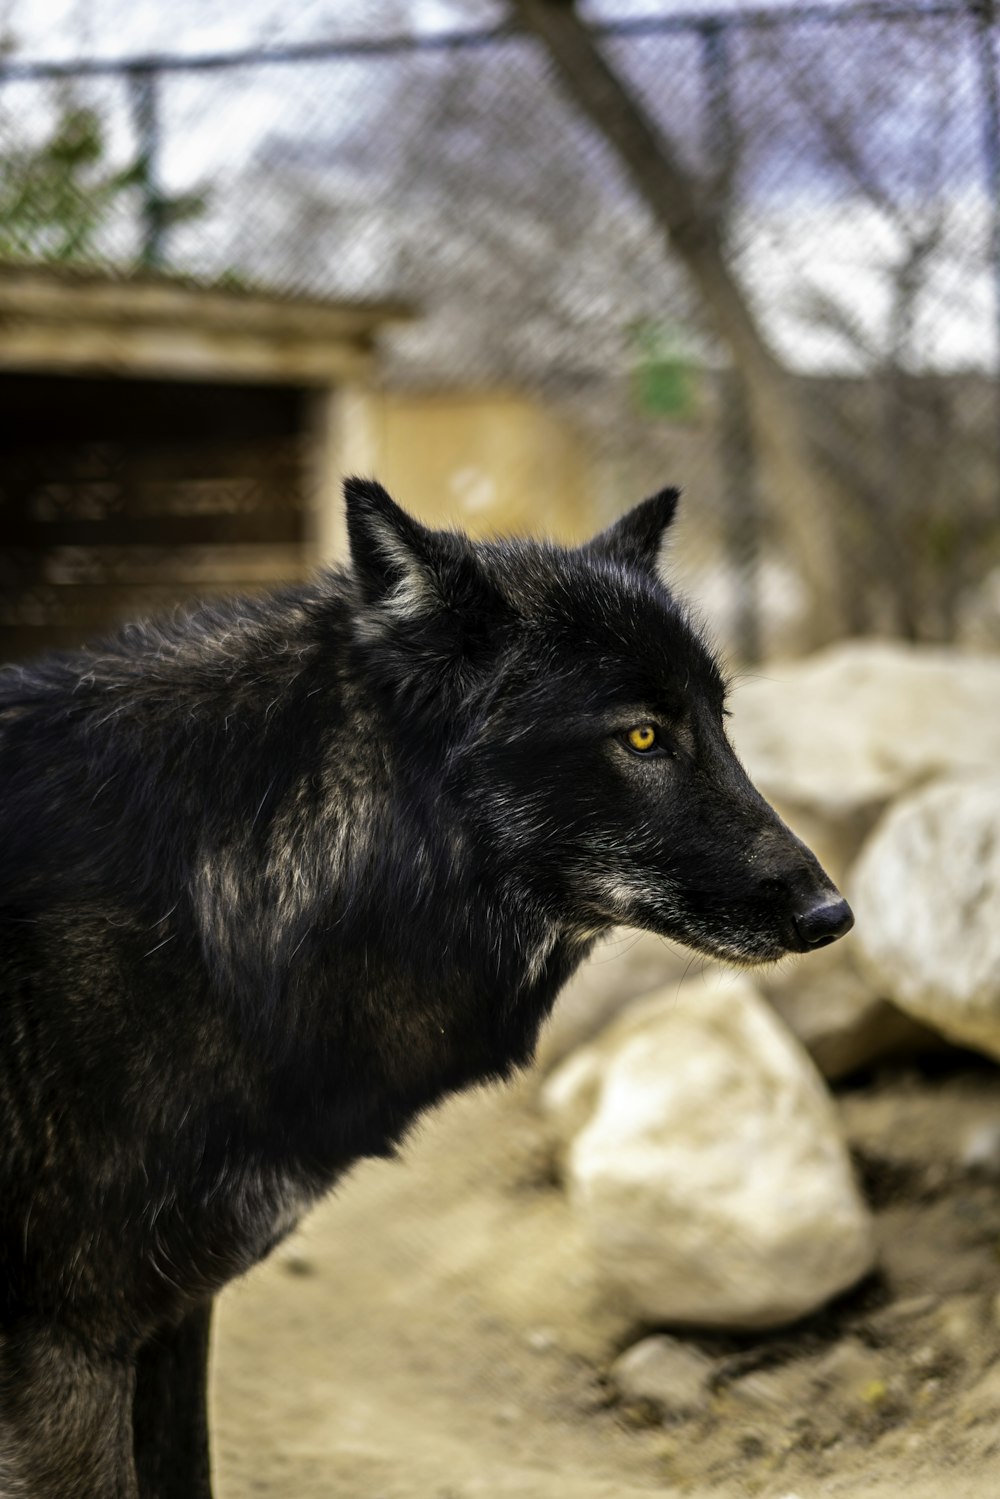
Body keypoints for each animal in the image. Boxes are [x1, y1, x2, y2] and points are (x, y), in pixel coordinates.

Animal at [0, 482, 851, 1499]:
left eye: (721, 722)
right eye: (644, 734)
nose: (832, 913)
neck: (218, 909)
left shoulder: (170, 1311)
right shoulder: (67, 1343)